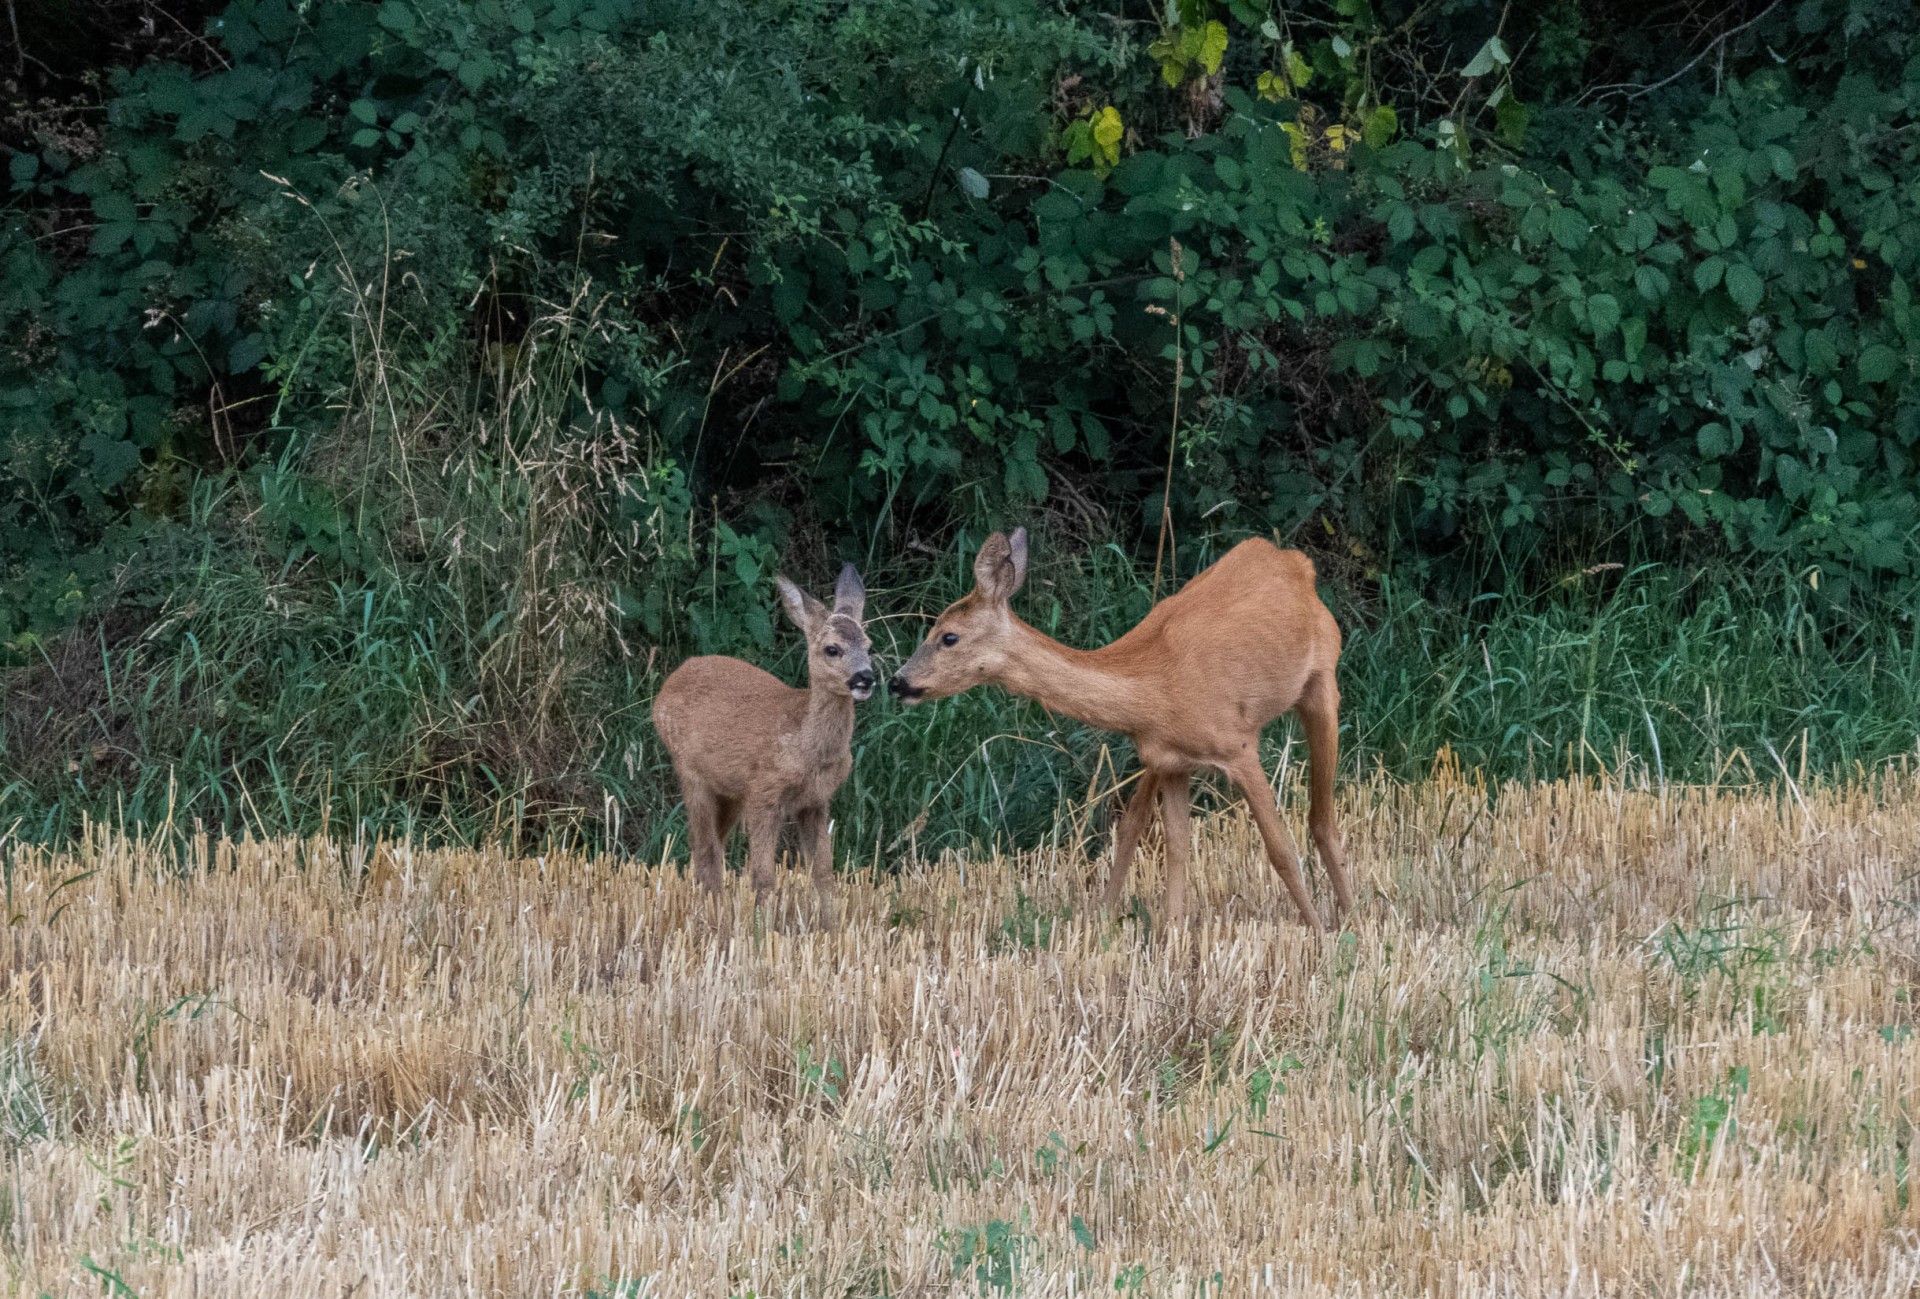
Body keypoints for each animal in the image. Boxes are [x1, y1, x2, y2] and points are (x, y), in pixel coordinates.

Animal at [652, 564, 879, 897]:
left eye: (868, 645)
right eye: (832, 649)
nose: (866, 677)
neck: (805, 746)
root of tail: (671, 681)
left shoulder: (816, 801)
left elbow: (823, 874)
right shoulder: (763, 791)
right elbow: (762, 876)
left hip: (729, 790)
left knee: (711, 846)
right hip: (691, 771)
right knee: (705, 848)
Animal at [887, 529, 1351, 932]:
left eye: (948, 636)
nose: (897, 682)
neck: (1156, 687)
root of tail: (1294, 560)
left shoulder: (1238, 747)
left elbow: (1280, 850)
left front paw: (1318, 934)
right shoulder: (1171, 761)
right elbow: (1175, 847)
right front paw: (1173, 935)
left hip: (1322, 679)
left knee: (1321, 818)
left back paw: (1351, 914)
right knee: (1135, 826)